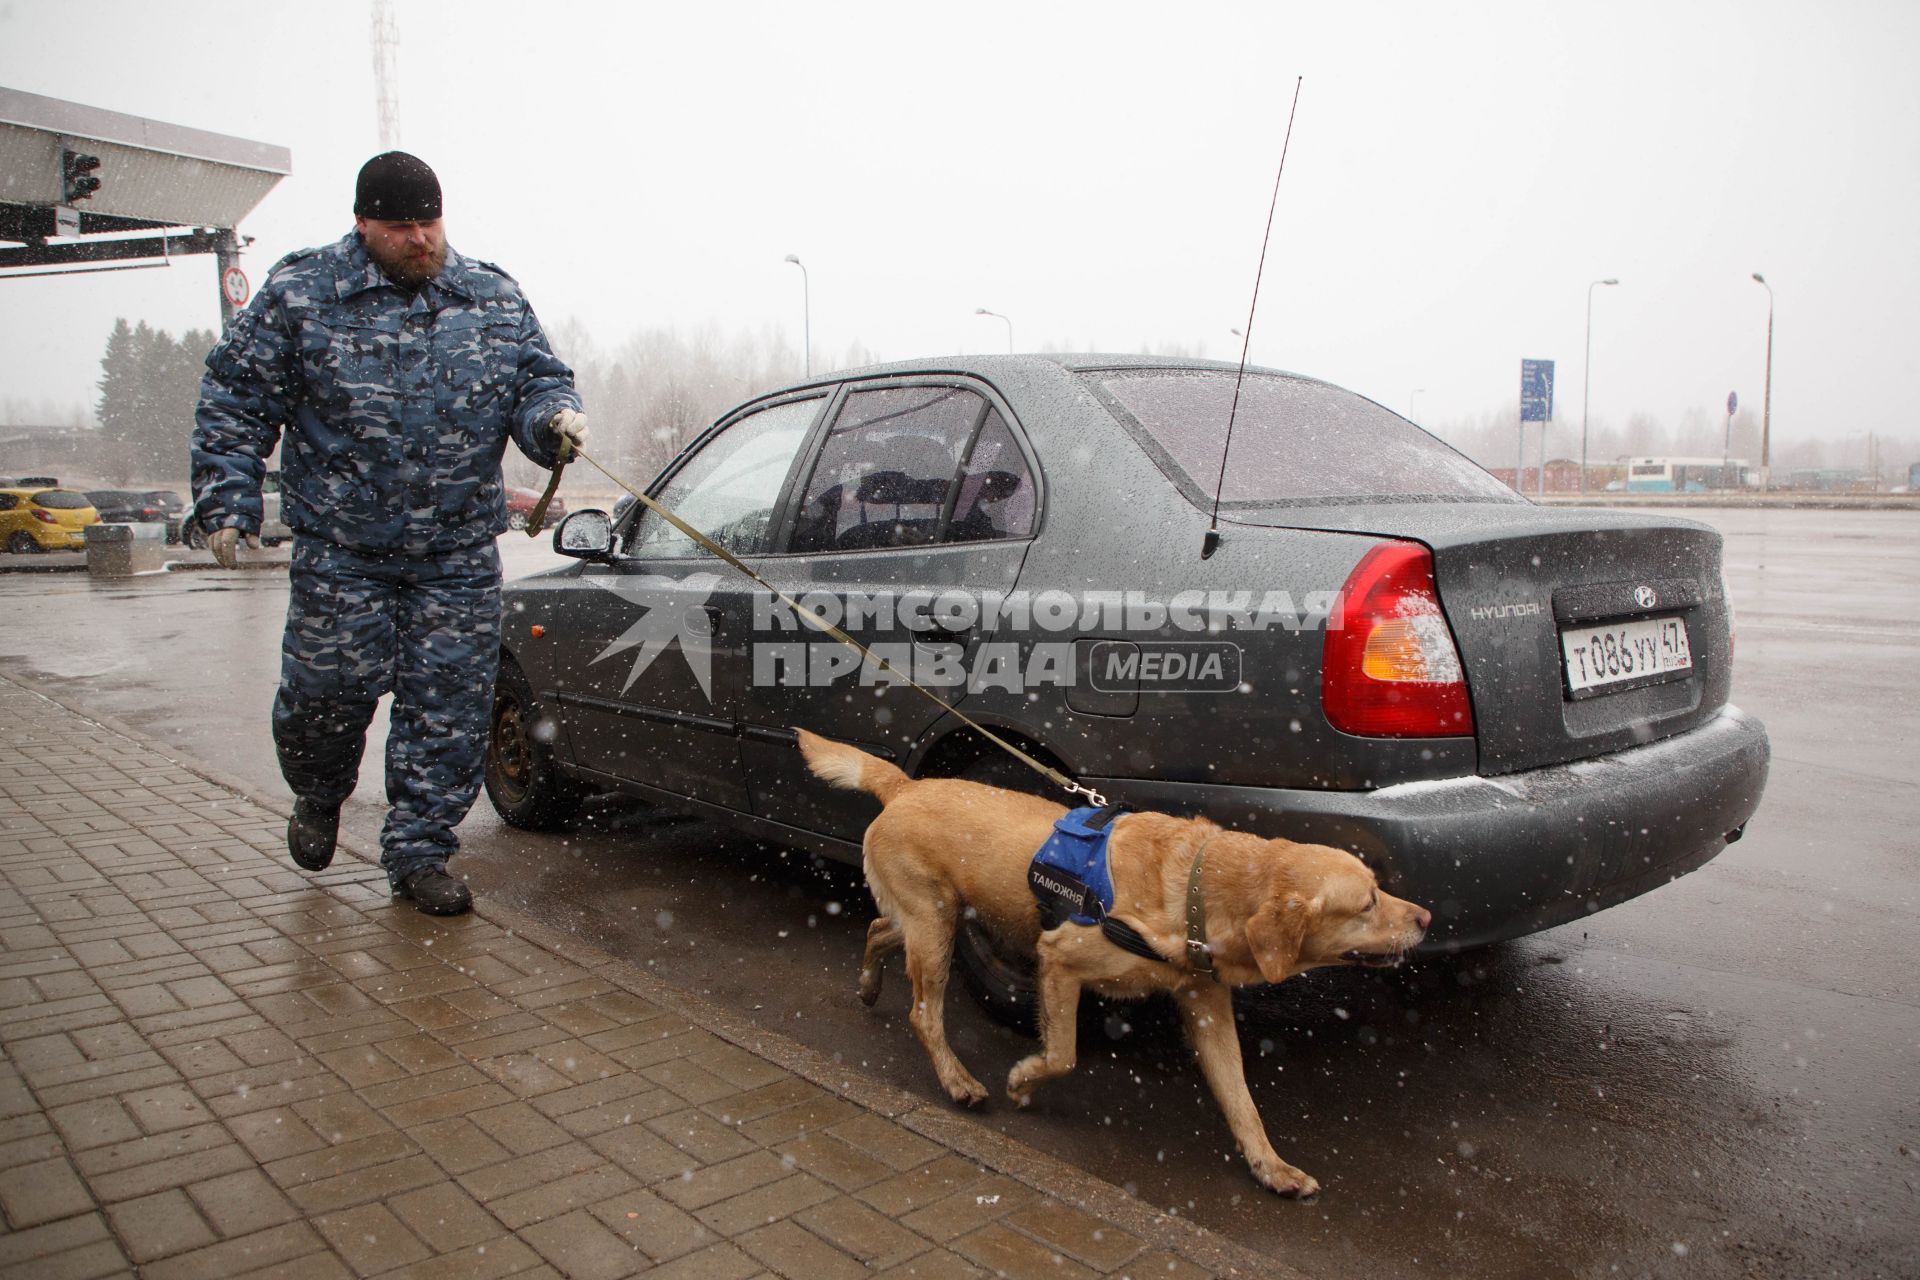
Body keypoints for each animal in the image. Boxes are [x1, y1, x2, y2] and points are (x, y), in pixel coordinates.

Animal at [791, 729, 1428, 1205]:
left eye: (1377, 888)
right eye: (1367, 903)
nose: (1425, 917)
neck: (1197, 889)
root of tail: (904, 786)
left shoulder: (1207, 1008)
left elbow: (1241, 1097)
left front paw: (1271, 1166)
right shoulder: (1059, 961)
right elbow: (1063, 1055)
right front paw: (1023, 1081)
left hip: (934, 919)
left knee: (878, 930)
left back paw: (869, 986)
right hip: (935, 927)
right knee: (923, 1013)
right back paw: (957, 1081)